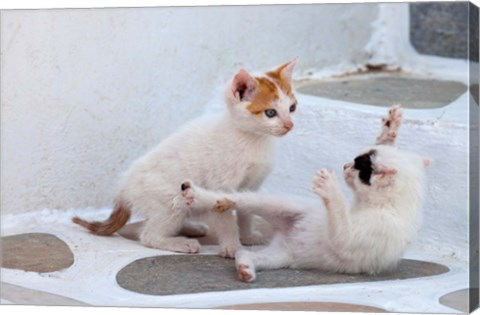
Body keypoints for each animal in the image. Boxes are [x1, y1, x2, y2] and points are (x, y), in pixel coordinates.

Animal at [72, 59, 298, 260]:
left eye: (292, 108)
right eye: (270, 112)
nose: (289, 125)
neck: (253, 139)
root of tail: (123, 191)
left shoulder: (251, 185)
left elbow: (246, 211)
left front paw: (248, 236)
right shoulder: (221, 184)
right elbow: (226, 218)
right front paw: (233, 248)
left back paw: (192, 227)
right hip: (171, 199)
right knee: (148, 235)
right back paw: (180, 243)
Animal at [179, 105, 432, 282]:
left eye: (358, 166)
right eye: (356, 159)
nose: (345, 165)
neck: (387, 206)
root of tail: (284, 234)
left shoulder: (363, 235)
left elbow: (342, 227)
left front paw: (330, 186)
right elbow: (386, 143)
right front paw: (391, 128)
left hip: (281, 256)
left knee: (247, 254)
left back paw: (245, 267)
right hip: (278, 205)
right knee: (237, 200)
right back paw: (203, 197)